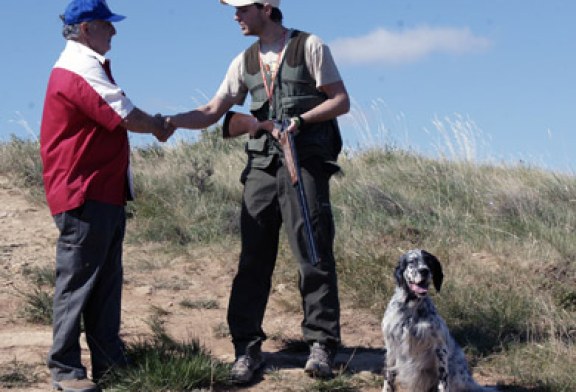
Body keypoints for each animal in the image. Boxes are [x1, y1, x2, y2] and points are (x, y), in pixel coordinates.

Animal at [380, 250, 492, 390]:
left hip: (457, 374)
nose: (424, 270)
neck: (411, 308)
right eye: (412, 261)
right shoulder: (391, 347)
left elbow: (443, 382)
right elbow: (388, 377)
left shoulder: (440, 349)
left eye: (429, 262)